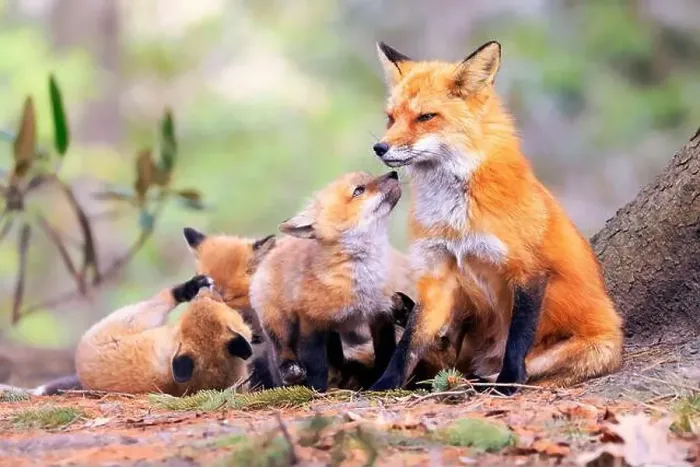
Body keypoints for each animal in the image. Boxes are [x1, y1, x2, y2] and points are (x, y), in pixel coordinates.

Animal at [250, 170, 410, 391]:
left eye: (370, 175)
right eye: (358, 190)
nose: (393, 173)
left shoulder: (380, 314)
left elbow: (385, 353)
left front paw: (377, 380)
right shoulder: (310, 322)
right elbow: (316, 364)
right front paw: (317, 391)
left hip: (332, 332)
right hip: (279, 322)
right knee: (281, 349)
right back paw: (290, 371)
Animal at [369, 40, 623, 392]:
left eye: (426, 117)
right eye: (390, 119)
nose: (379, 148)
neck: (455, 218)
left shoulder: (529, 270)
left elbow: (517, 339)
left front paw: (509, 383)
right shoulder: (437, 273)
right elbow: (409, 342)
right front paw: (386, 382)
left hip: (589, 348)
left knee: (524, 369)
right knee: (447, 357)